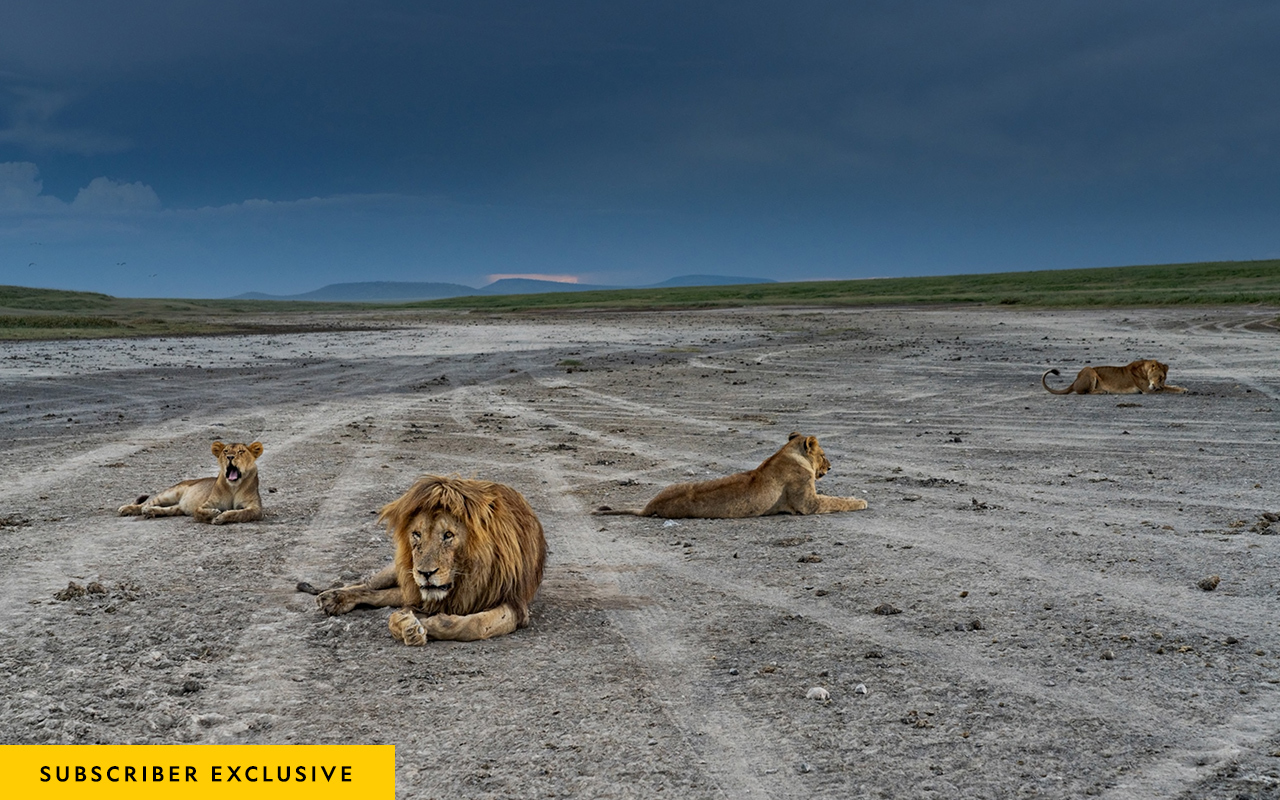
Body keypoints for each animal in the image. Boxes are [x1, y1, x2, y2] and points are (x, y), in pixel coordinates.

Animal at [118, 437, 264, 524]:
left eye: (241, 451)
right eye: (226, 451)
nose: (230, 457)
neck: (233, 486)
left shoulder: (256, 508)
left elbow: (241, 513)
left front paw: (222, 516)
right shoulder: (207, 504)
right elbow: (198, 512)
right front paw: (214, 514)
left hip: (178, 507)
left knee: (167, 509)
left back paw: (151, 512)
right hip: (171, 493)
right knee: (145, 504)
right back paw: (126, 509)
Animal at [302, 473, 547, 642]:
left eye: (448, 535)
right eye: (416, 534)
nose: (425, 573)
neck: (466, 578)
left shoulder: (515, 602)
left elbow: (475, 625)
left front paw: (423, 625)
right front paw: (408, 626)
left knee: (384, 595)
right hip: (401, 571)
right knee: (368, 585)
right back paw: (333, 597)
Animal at [593, 430, 865, 517]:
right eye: (823, 455)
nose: (830, 467)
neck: (786, 453)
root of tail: (650, 506)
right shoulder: (808, 504)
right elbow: (837, 501)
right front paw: (861, 501)